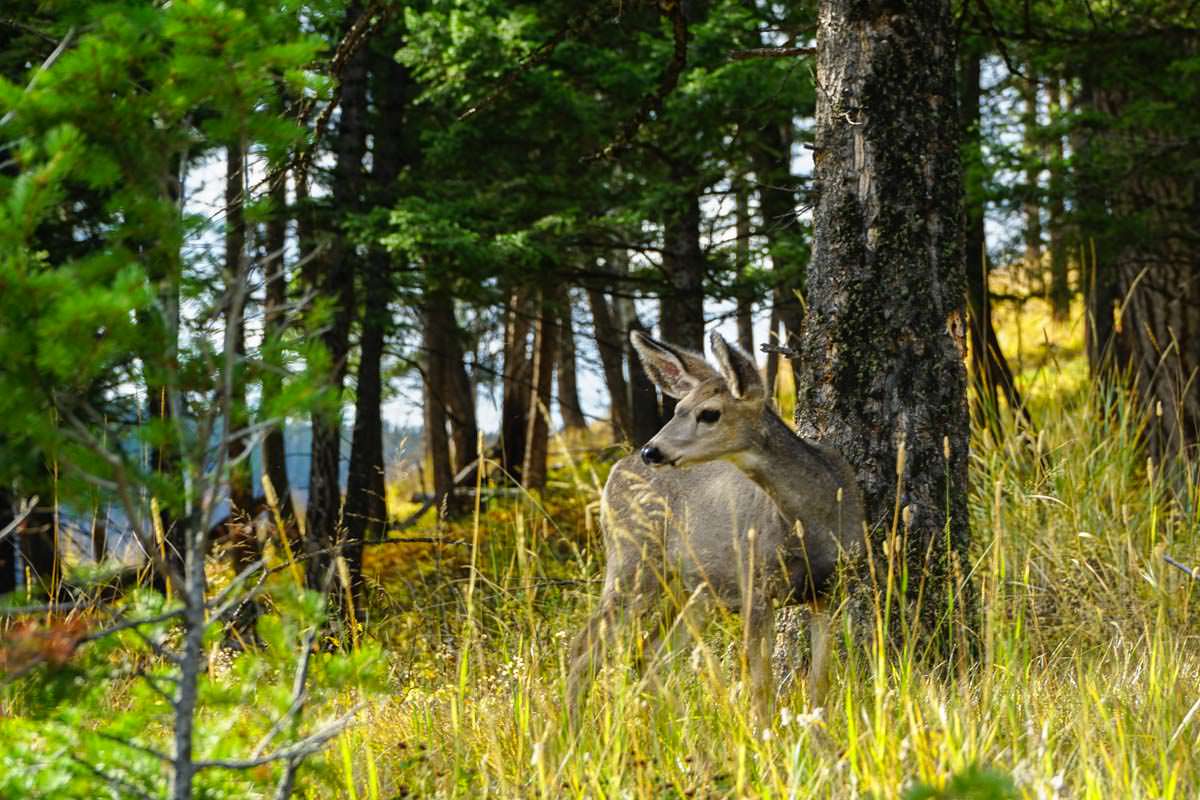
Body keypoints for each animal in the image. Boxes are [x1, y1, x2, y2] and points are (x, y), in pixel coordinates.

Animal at [566, 328, 868, 729]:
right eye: (677, 409)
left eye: (709, 413)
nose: (652, 451)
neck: (815, 521)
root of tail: (614, 471)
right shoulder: (756, 583)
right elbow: (761, 687)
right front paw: (762, 737)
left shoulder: (832, 589)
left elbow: (821, 682)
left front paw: (821, 734)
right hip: (632, 562)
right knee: (584, 649)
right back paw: (568, 732)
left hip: (695, 590)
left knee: (650, 655)